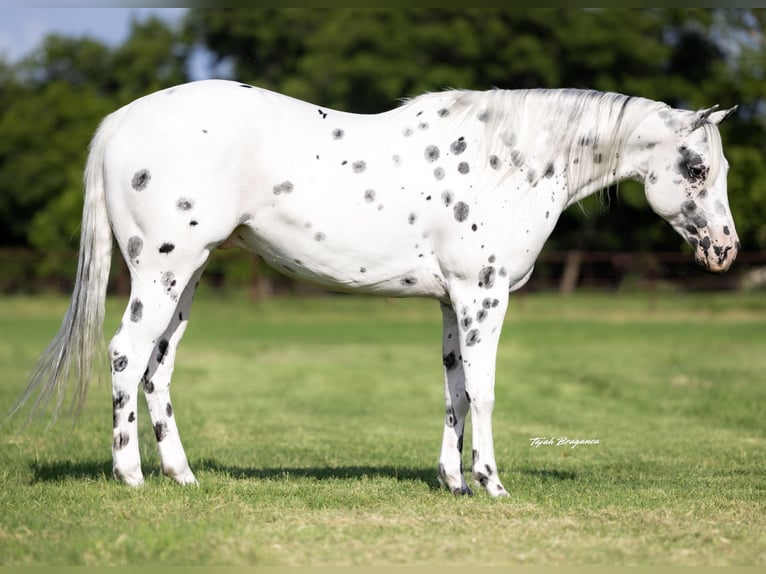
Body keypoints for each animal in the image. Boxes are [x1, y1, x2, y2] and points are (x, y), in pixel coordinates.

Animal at [10, 80, 739, 496]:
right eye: (696, 169)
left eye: (720, 167)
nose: (725, 250)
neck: (509, 160)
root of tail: (122, 121)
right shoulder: (483, 295)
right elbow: (484, 389)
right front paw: (491, 483)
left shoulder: (452, 301)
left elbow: (453, 390)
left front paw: (453, 481)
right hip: (162, 269)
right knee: (125, 355)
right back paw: (130, 476)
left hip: (186, 277)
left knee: (156, 369)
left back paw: (182, 477)